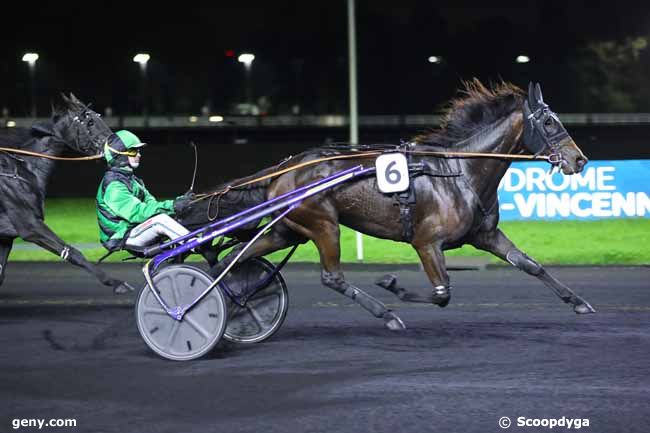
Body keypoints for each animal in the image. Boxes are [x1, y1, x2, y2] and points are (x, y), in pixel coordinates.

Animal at [0, 94, 133, 294]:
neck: (21, 169)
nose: (119, 146)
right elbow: (73, 252)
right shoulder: (30, 225)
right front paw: (115, 283)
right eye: (90, 122)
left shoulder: (6, 237)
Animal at [182, 80, 592, 328]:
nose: (580, 160)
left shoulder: (484, 235)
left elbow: (530, 264)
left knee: (236, 258)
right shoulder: (426, 242)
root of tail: (284, 168)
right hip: (323, 224)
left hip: (287, 230)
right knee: (331, 276)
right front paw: (391, 283)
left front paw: (578, 302)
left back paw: (235, 301)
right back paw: (386, 314)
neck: (460, 172)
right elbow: (442, 294)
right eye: (550, 123)